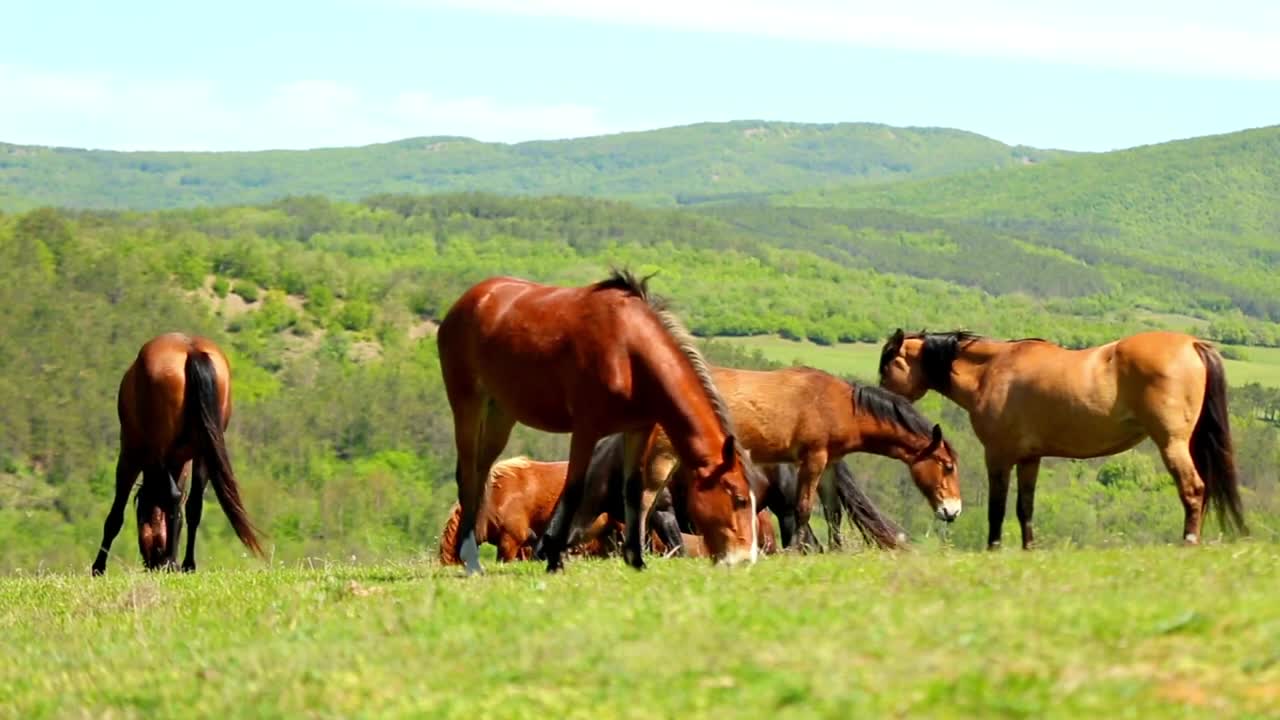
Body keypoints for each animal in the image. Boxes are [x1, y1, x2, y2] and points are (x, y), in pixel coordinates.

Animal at [92, 333, 262, 573]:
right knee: (194, 504)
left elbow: (116, 515)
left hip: (157, 449)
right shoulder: (183, 461)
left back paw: (171, 560)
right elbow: (185, 507)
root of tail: (192, 350)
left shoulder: (131, 454)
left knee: (172, 496)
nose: (152, 562)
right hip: (204, 452)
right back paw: (187, 563)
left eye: (140, 516)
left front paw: (98, 566)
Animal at [437, 269, 757, 571]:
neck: (629, 350)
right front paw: (555, 561)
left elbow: (633, 489)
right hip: (467, 403)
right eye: (739, 498)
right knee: (468, 474)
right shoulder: (585, 430)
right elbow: (573, 489)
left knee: (482, 473)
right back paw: (471, 561)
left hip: (500, 413)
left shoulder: (638, 429)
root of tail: (468, 300)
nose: (745, 558)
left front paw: (636, 560)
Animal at [875, 327, 1244, 545]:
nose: (881, 399)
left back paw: (1188, 542)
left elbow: (997, 508)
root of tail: (1192, 344)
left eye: (886, 366)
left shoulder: (998, 455)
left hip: (1172, 443)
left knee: (1193, 489)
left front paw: (993, 548)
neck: (992, 370)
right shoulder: (1030, 458)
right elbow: (1024, 508)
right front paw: (1028, 549)